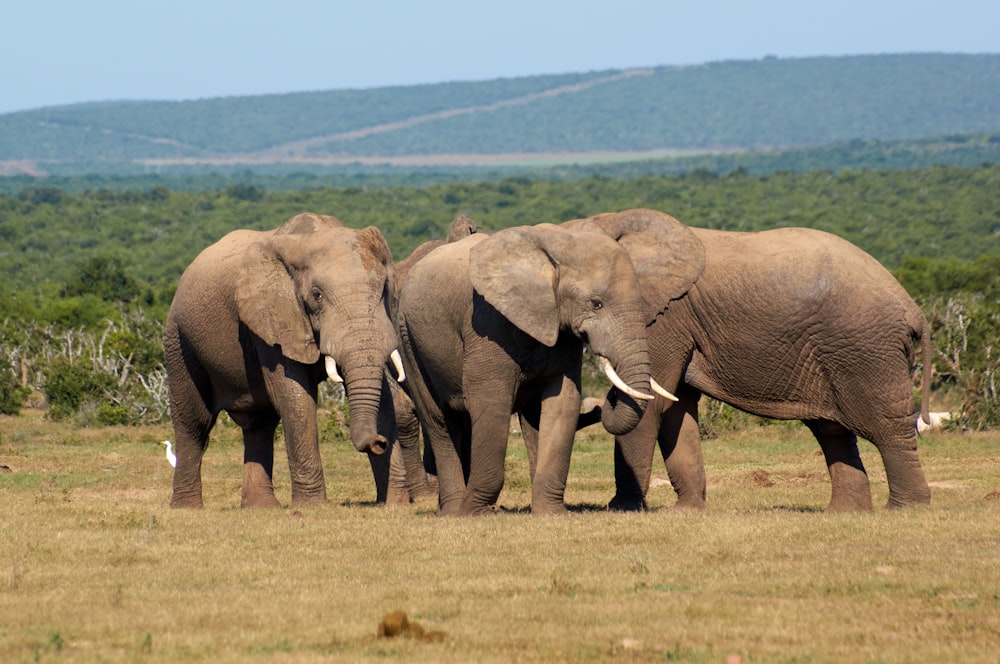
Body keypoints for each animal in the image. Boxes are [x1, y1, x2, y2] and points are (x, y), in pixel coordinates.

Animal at [162, 213, 404, 508]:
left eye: (383, 290)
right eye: (316, 295)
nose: (379, 442)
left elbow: (385, 397)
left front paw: (395, 504)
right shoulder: (271, 318)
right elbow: (294, 398)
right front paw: (312, 507)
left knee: (260, 424)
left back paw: (261, 508)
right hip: (179, 339)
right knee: (194, 421)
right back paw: (187, 508)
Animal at [394, 223, 676, 520]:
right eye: (596, 304)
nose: (605, 403)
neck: (557, 246)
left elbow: (563, 403)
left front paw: (552, 514)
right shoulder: (487, 323)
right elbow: (490, 402)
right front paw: (474, 513)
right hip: (408, 338)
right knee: (438, 420)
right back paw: (453, 511)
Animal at [568, 210, 932, 510]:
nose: (599, 405)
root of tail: (912, 307)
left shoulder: (662, 315)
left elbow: (653, 405)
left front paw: (621, 509)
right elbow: (676, 408)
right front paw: (686, 512)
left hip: (865, 348)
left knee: (886, 426)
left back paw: (904, 509)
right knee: (833, 430)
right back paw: (845, 513)